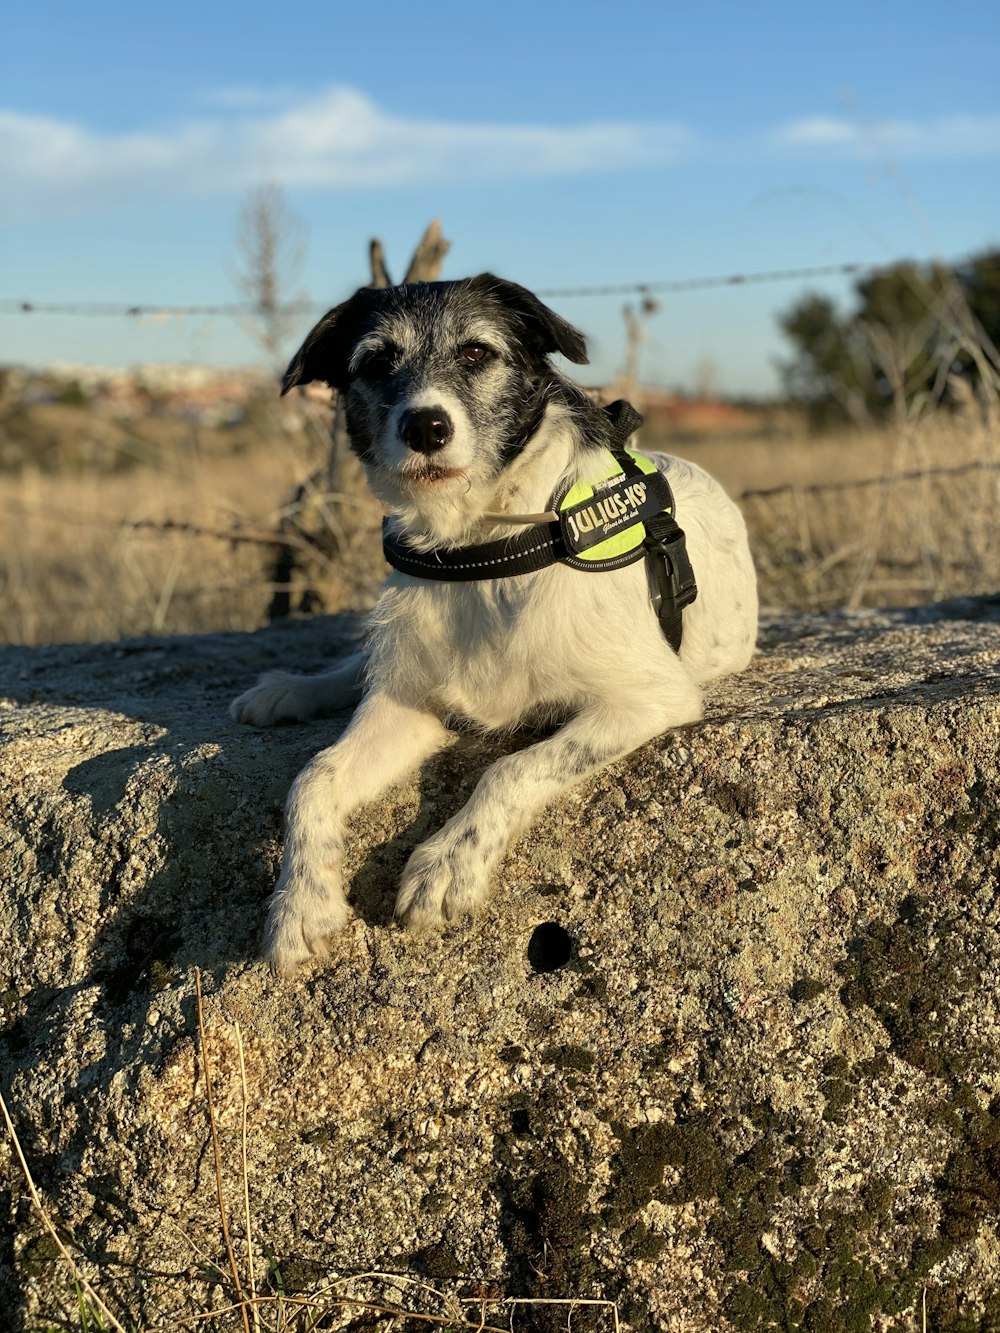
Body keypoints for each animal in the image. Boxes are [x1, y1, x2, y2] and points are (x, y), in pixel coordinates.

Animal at [230, 273, 757, 981]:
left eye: (477, 352)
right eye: (376, 362)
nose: (425, 426)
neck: (477, 547)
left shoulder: (651, 697)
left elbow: (512, 767)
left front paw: (448, 862)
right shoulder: (409, 705)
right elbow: (314, 778)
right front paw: (299, 905)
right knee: (361, 667)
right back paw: (289, 690)